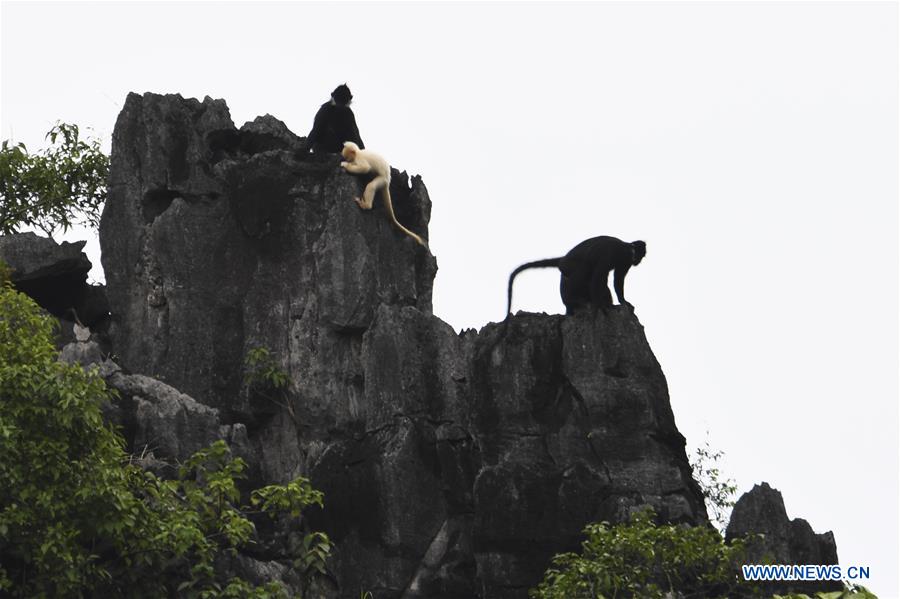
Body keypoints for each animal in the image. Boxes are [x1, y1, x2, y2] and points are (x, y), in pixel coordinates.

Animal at [506, 236, 648, 316]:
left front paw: (623, 301)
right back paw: (576, 301)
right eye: (641, 256)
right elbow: (598, 275)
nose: (639, 261)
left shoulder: (625, 262)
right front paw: (599, 305)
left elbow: (618, 279)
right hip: (568, 266)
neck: (626, 249)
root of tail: (563, 259)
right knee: (587, 270)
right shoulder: (610, 254)